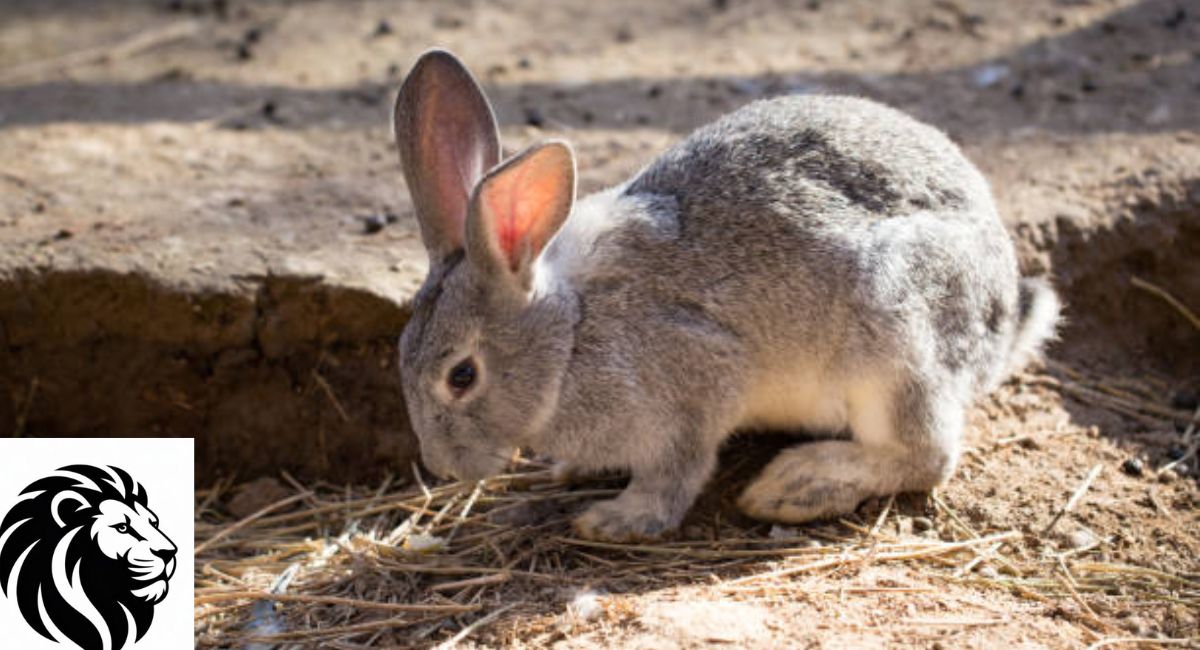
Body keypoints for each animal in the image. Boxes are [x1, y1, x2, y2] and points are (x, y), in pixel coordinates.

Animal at [393, 49, 1060, 542]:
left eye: (461, 376)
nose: (442, 466)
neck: (570, 331)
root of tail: (1001, 320)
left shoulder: (692, 387)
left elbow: (676, 470)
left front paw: (618, 519)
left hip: (896, 338)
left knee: (927, 455)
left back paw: (795, 485)